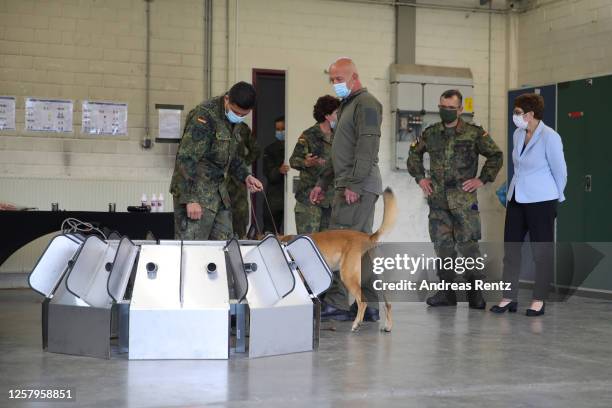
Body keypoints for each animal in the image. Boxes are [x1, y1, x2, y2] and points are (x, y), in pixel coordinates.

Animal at [278, 187, 396, 332]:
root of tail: (367, 237)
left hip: (348, 276)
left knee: (362, 301)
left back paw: (356, 324)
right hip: (378, 279)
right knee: (387, 303)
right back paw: (387, 326)